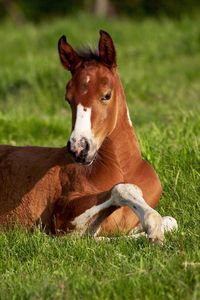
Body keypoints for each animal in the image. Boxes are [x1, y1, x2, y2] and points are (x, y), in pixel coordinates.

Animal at [0, 29, 177, 241]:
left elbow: (172, 221)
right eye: (68, 99)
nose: (79, 148)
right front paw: (153, 227)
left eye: (107, 95)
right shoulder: (62, 219)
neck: (122, 168)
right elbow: (121, 190)